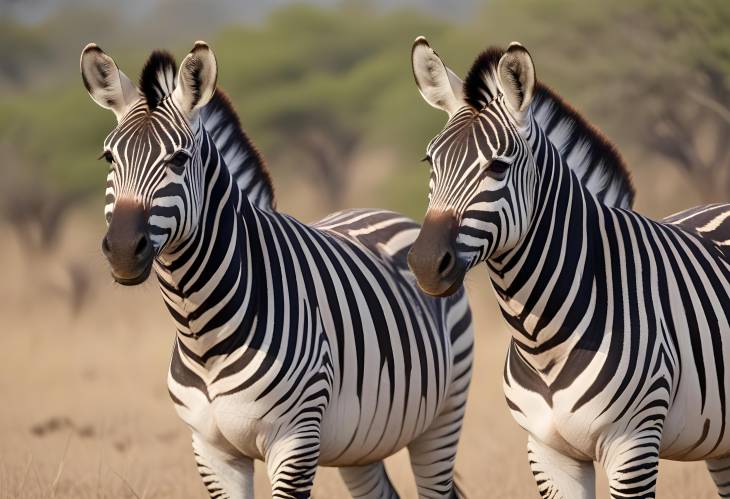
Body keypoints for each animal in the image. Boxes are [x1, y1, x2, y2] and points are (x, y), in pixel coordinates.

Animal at [79, 40, 472, 499]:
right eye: (109, 157)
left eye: (178, 159)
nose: (124, 250)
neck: (202, 332)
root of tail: (388, 214)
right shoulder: (212, 450)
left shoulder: (295, 439)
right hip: (360, 441)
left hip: (444, 416)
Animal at [410, 36, 730, 499]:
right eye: (430, 163)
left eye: (498, 166)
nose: (424, 264)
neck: (542, 340)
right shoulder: (548, 452)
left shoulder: (633, 445)